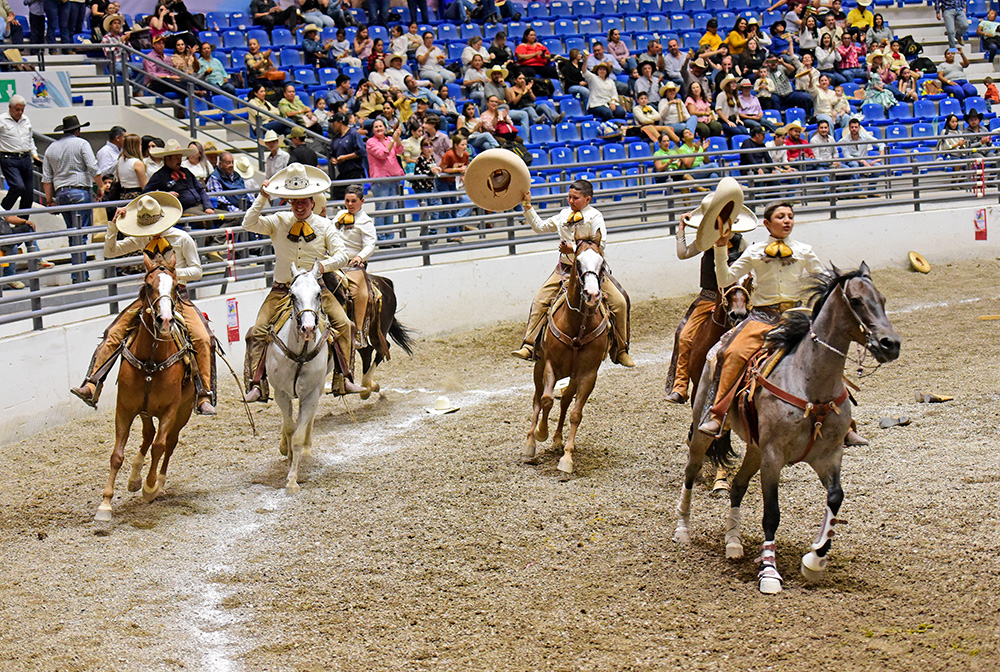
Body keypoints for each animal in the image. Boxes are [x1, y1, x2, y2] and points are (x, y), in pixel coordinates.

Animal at [94, 251, 194, 520]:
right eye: (149, 285)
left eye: (176, 286)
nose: (165, 320)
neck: (152, 359)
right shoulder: (125, 409)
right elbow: (117, 455)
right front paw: (105, 504)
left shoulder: (171, 410)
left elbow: (159, 447)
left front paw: (150, 487)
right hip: (145, 411)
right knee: (148, 434)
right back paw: (134, 479)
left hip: (183, 412)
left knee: (168, 443)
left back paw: (157, 482)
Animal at [264, 262, 334, 494]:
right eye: (292, 295)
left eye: (319, 293)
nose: (308, 328)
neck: (300, 353)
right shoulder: (281, 393)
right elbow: (288, 428)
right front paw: (286, 452)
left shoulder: (310, 394)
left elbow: (298, 435)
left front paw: (292, 480)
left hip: (318, 390)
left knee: (309, 419)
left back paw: (306, 451)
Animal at [524, 235, 608, 472]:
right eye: (578, 262)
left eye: (602, 263)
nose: (592, 295)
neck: (578, 326)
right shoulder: (550, 365)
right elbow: (546, 400)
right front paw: (540, 433)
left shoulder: (588, 374)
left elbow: (575, 414)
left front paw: (567, 458)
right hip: (539, 368)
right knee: (537, 398)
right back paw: (530, 443)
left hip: (573, 376)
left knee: (566, 401)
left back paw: (558, 441)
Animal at [676, 266, 904, 596]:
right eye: (857, 301)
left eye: (883, 299)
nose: (891, 344)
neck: (810, 386)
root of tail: (718, 346)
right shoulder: (774, 458)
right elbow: (772, 514)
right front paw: (769, 572)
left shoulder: (829, 456)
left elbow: (835, 497)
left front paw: (815, 560)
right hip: (705, 434)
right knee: (691, 473)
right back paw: (682, 529)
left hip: (755, 449)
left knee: (737, 487)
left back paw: (733, 542)